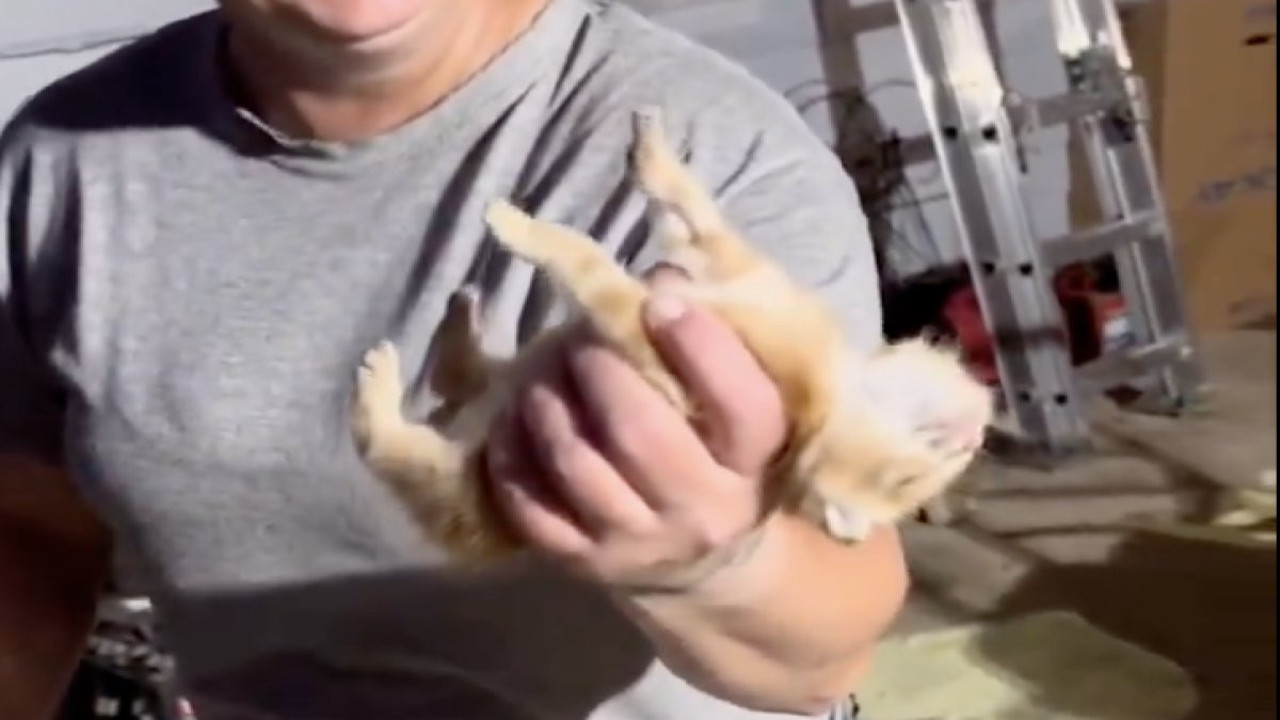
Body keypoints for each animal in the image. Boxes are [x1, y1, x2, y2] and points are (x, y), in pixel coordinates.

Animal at [350, 108, 994, 563]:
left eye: (905, 482)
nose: (974, 430)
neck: (835, 388)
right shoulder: (722, 264)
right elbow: (693, 212)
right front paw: (652, 150)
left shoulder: (662, 345)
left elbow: (592, 265)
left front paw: (518, 226)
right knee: (461, 374)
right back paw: (460, 318)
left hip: (461, 492)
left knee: (394, 449)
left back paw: (380, 385)